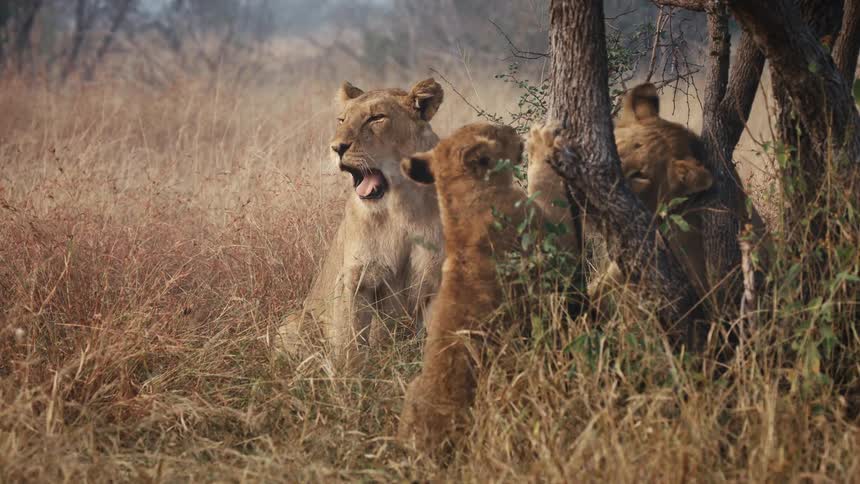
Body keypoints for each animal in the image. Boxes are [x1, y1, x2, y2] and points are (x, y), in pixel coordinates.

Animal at [279, 79, 445, 356]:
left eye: (376, 118)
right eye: (341, 119)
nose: (336, 148)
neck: (401, 208)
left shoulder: (436, 280)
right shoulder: (355, 278)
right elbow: (350, 344)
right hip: (292, 323)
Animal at [397, 122, 576, 455]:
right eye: (499, 132)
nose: (516, 133)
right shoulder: (550, 241)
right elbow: (545, 184)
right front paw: (541, 140)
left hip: (414, 388)